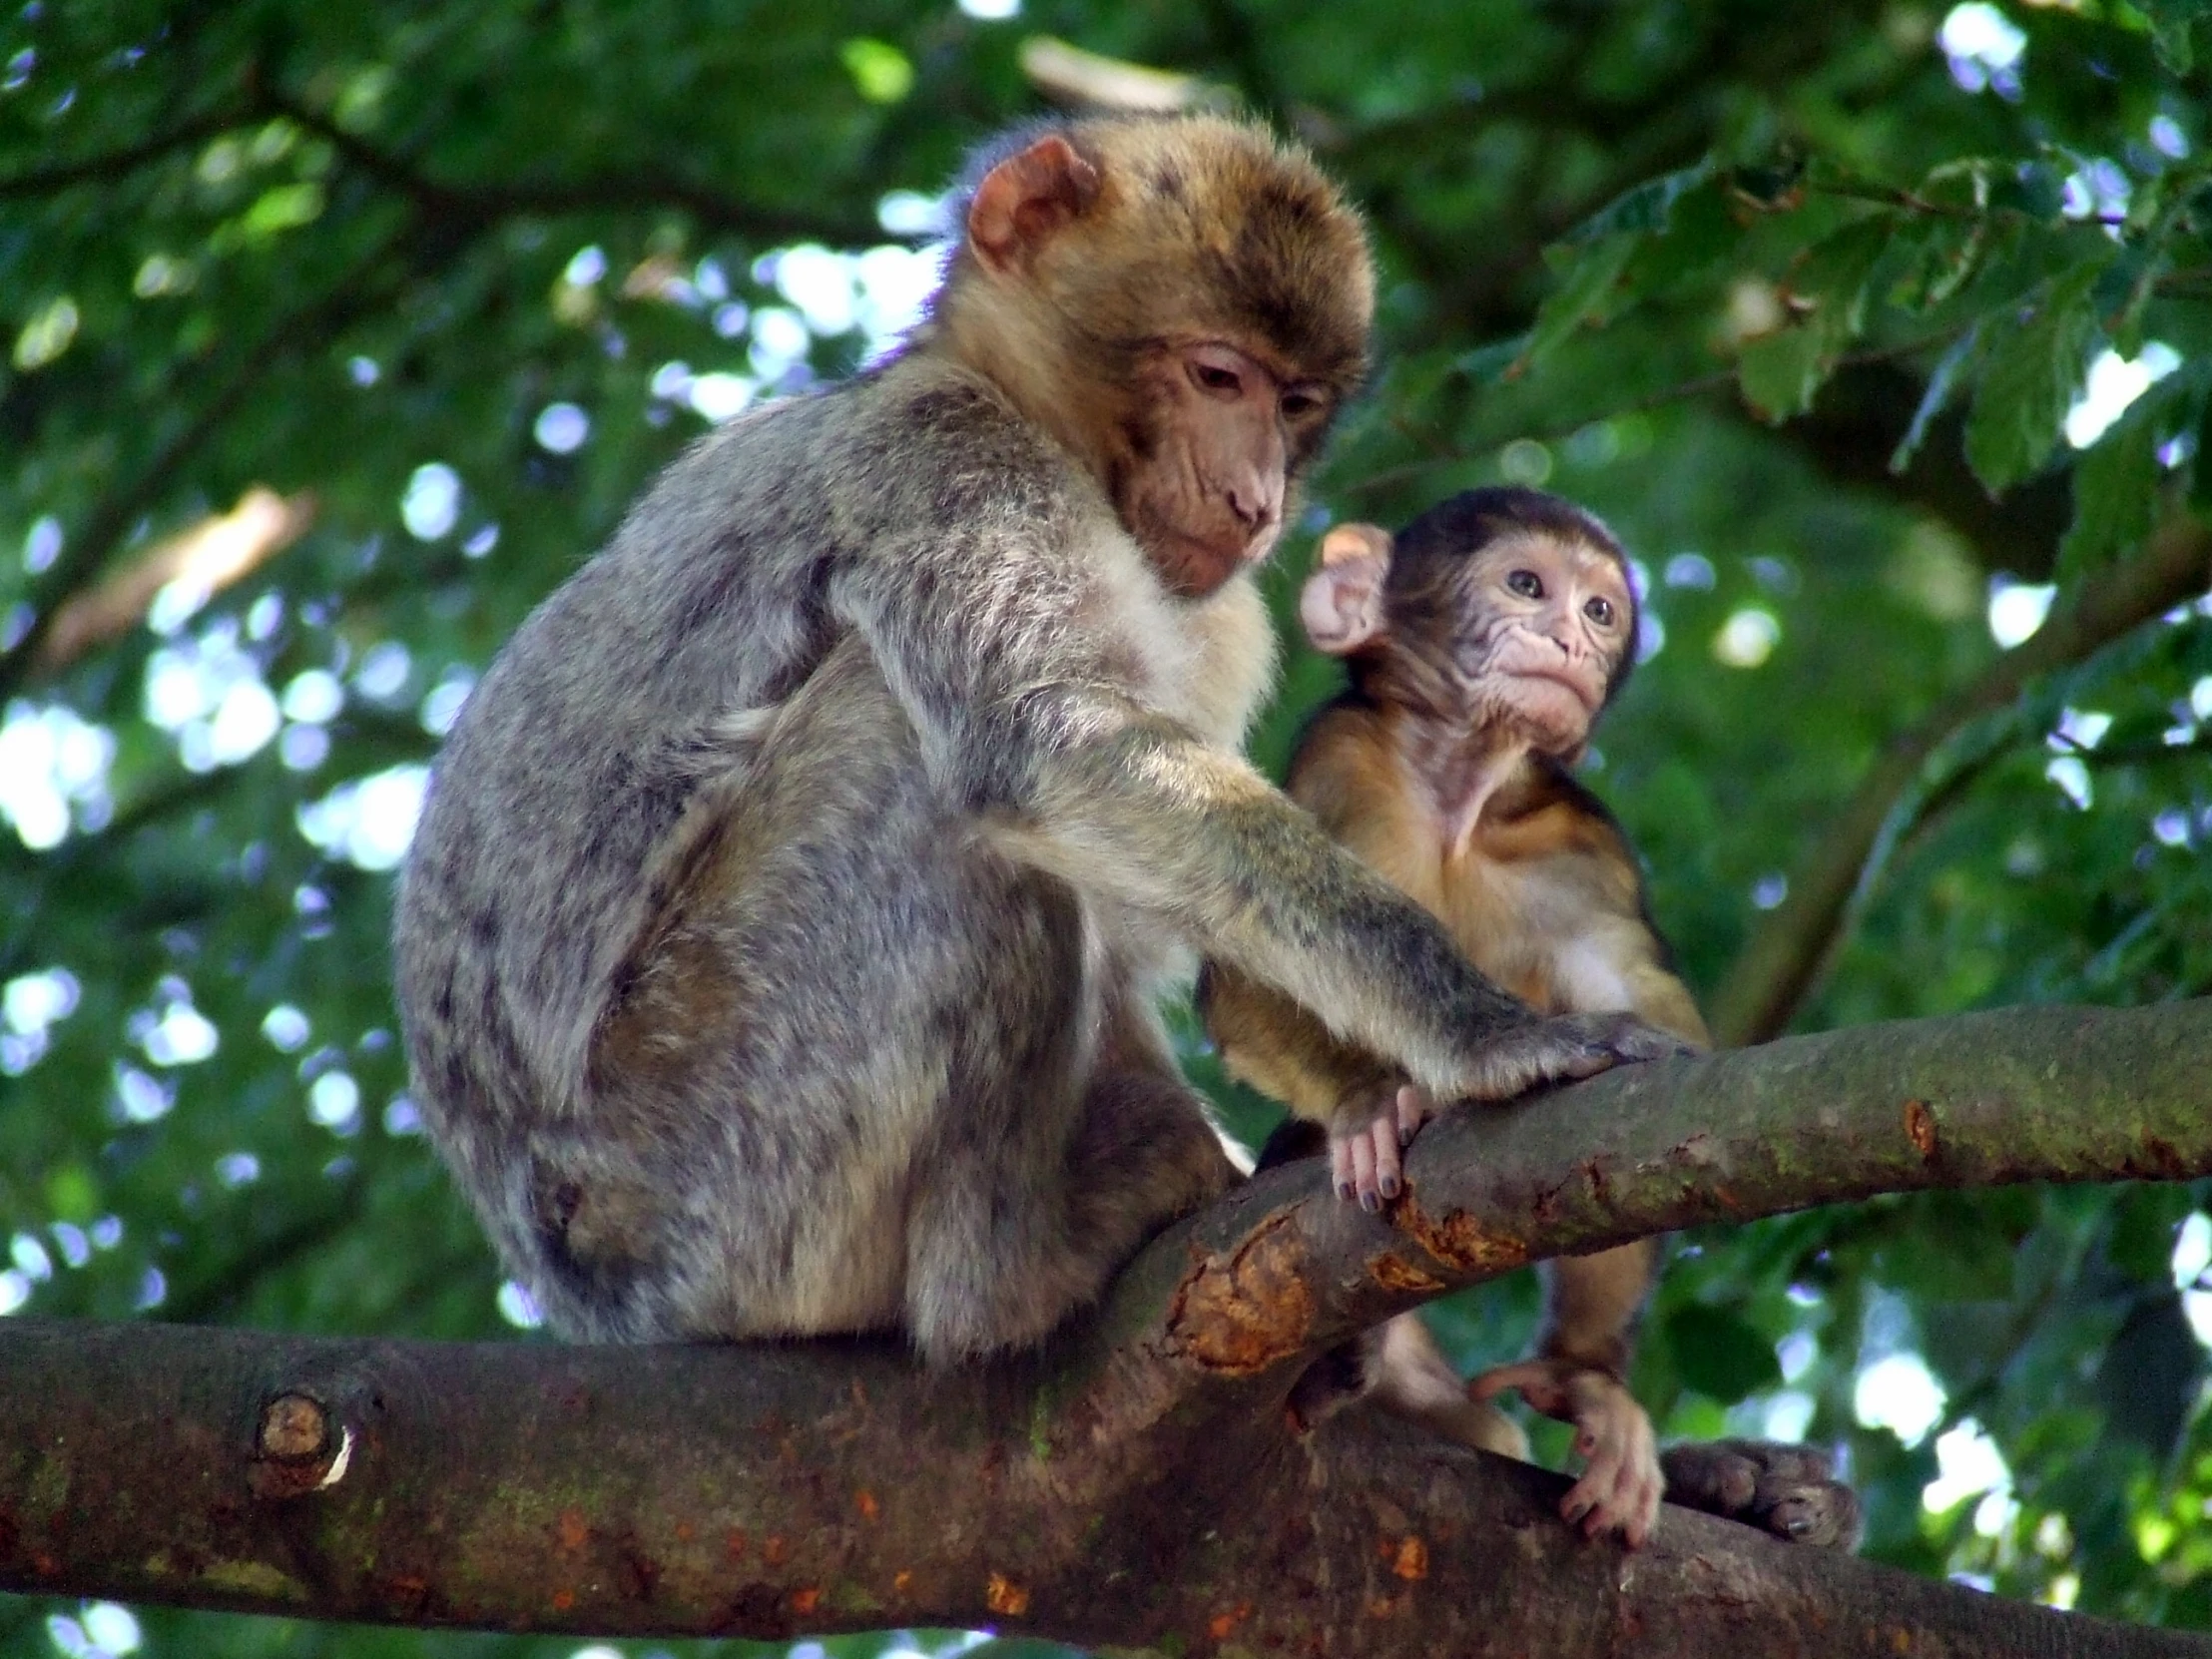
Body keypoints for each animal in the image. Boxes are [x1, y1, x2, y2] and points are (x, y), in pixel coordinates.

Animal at [397, 110, 1672, 1371]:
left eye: (1295, 403)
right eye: (1217, 375)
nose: (1255, 497)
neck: (1000, 392)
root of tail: (587, 1292)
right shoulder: (946, 460)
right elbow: (1054, 747)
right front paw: (1480, 1035)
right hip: (717, 1175)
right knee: (913, 762)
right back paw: (1004, 1275)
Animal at [1212, 486, 1849, 1557]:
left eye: (1600, 611)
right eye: (1524, 583)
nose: (1570, 637)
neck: (1460, 795)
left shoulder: (1577, 845)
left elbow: (1645, 1074)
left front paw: (1583, 1377)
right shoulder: (1347, 759)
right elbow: (1247, 963)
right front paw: (1367, 1101)